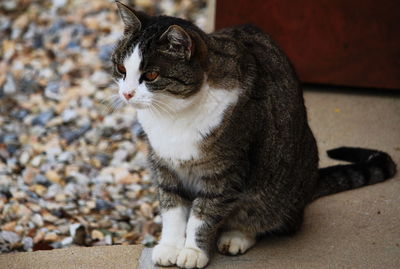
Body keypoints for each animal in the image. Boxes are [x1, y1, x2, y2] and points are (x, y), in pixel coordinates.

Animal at [110, 1, 396, 266]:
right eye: (121, 70)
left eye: (151, 75)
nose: (127, 93)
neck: (172, 114)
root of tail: (311, 183)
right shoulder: (164, 165)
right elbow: (172, 208)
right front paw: (170, 246)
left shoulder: (226, 171)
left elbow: (203, 215)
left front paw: (193, 251)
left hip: (274, 191)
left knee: (265, 218)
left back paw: (237, 236)